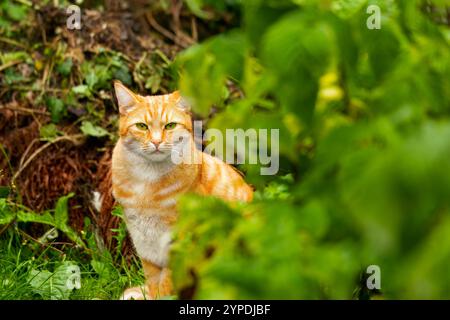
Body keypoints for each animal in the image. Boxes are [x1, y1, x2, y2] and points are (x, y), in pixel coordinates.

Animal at [111, 80, 253, 300]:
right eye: (142, 126)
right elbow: (153, 280)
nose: (157, 142)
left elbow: (167, 284)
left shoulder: (182, 243)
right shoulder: (144, 241)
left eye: (170, 126)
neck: (147, 180)